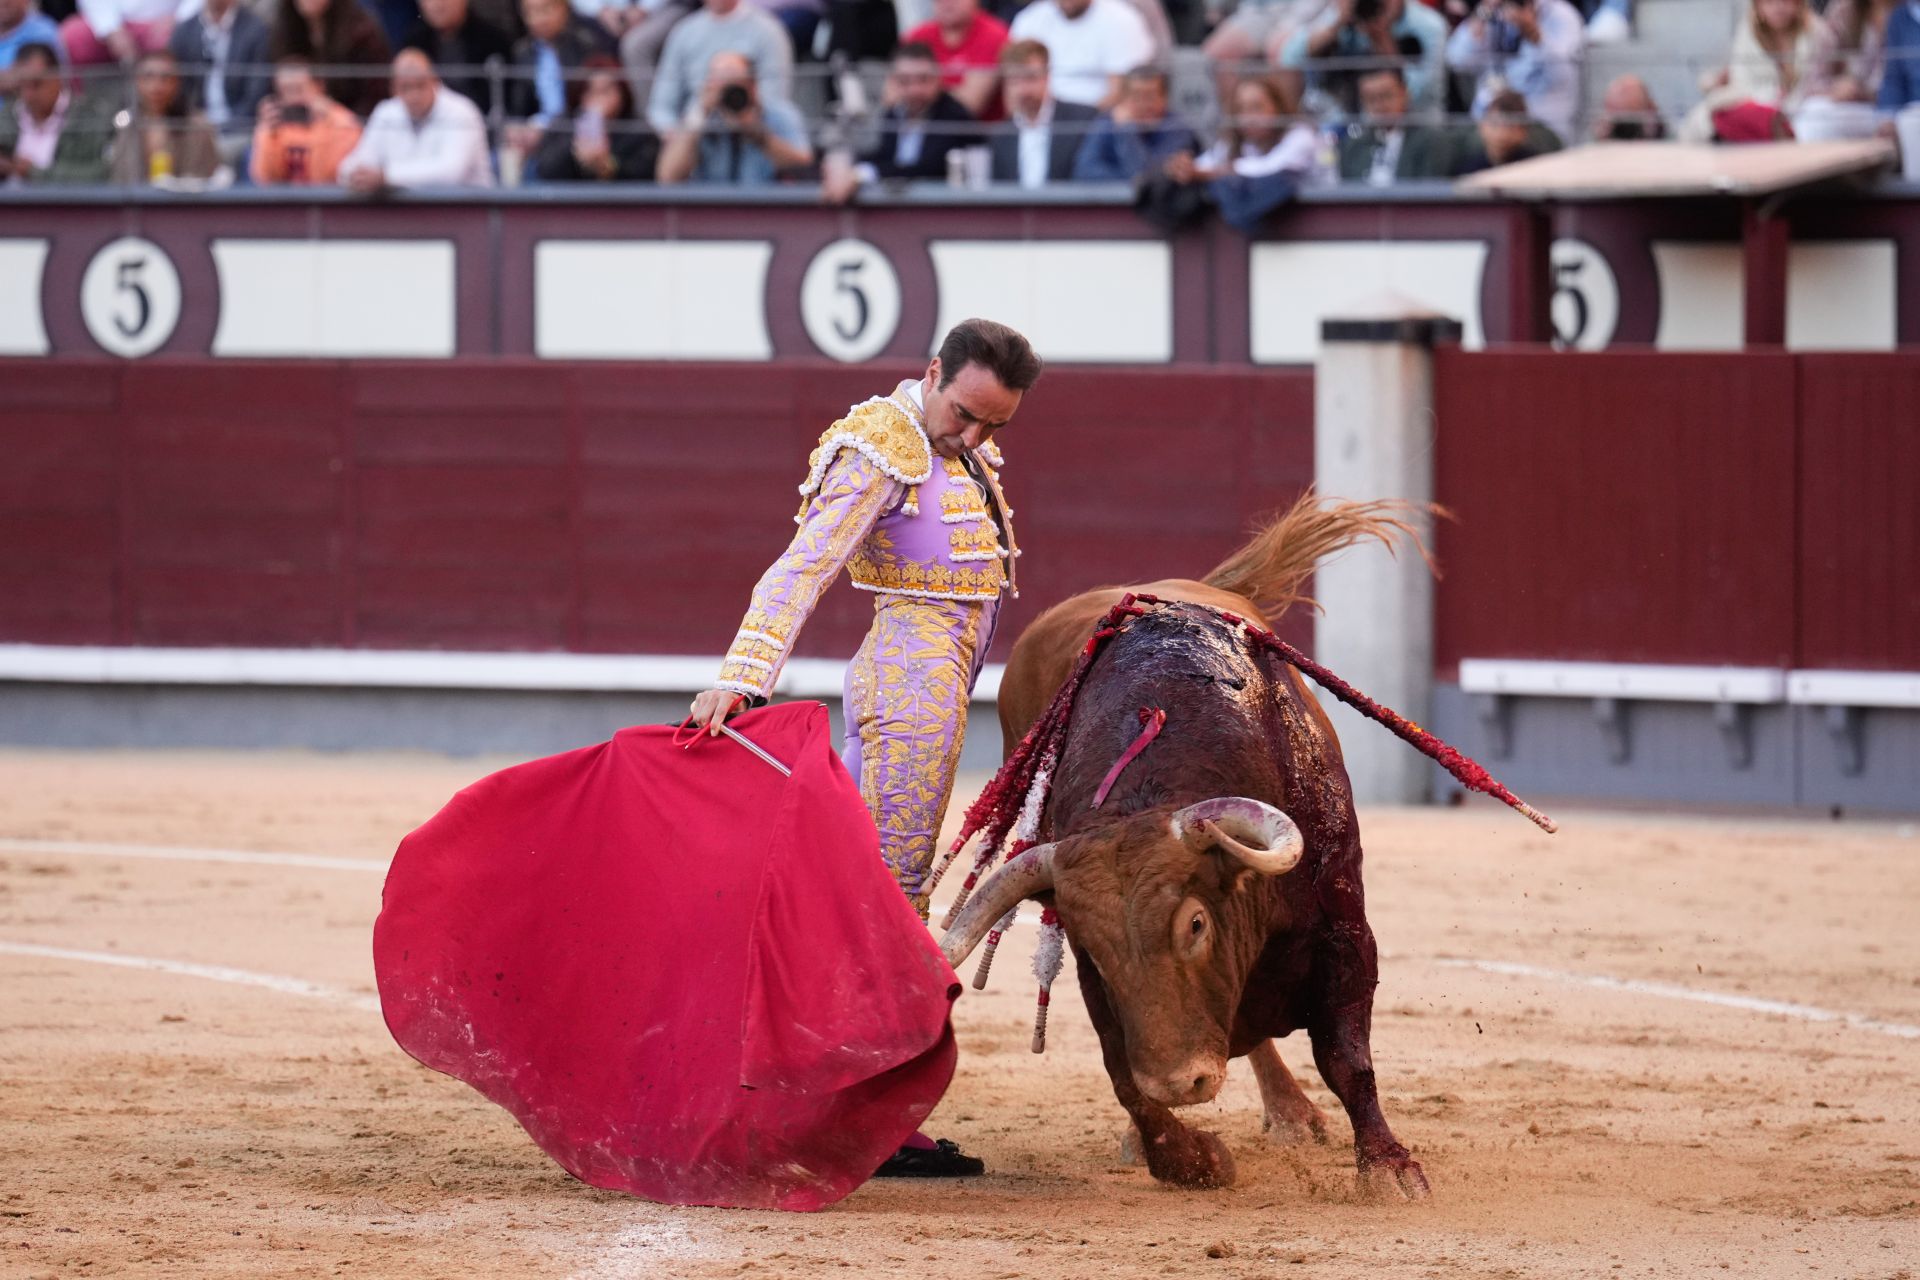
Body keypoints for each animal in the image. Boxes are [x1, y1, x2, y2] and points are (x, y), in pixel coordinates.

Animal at [944, 498, 1443, 1205]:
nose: (1182, 1082)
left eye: (1197, 925)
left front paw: (1390, 1170)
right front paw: (1189, 1159)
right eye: (1096, 948)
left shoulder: (1345, 929)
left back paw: (1293, 1116)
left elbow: (1347, 1057)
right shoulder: (1096, 979)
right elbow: (1123, 1072)